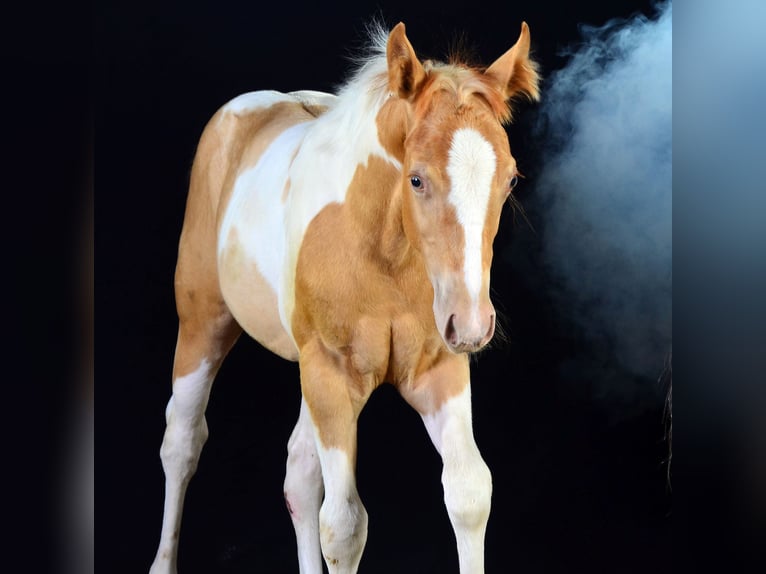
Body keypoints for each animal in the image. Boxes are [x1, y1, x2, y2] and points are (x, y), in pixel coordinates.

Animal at [149, 20, 540, 574]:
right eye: (416, 178)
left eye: (509, 179)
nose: (469, 325)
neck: (385, 255)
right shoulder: (332, 373)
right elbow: (345, 526)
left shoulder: (438, 369)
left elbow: (469, 493)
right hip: (205, 321)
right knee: (182, 441)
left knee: (299, 472)